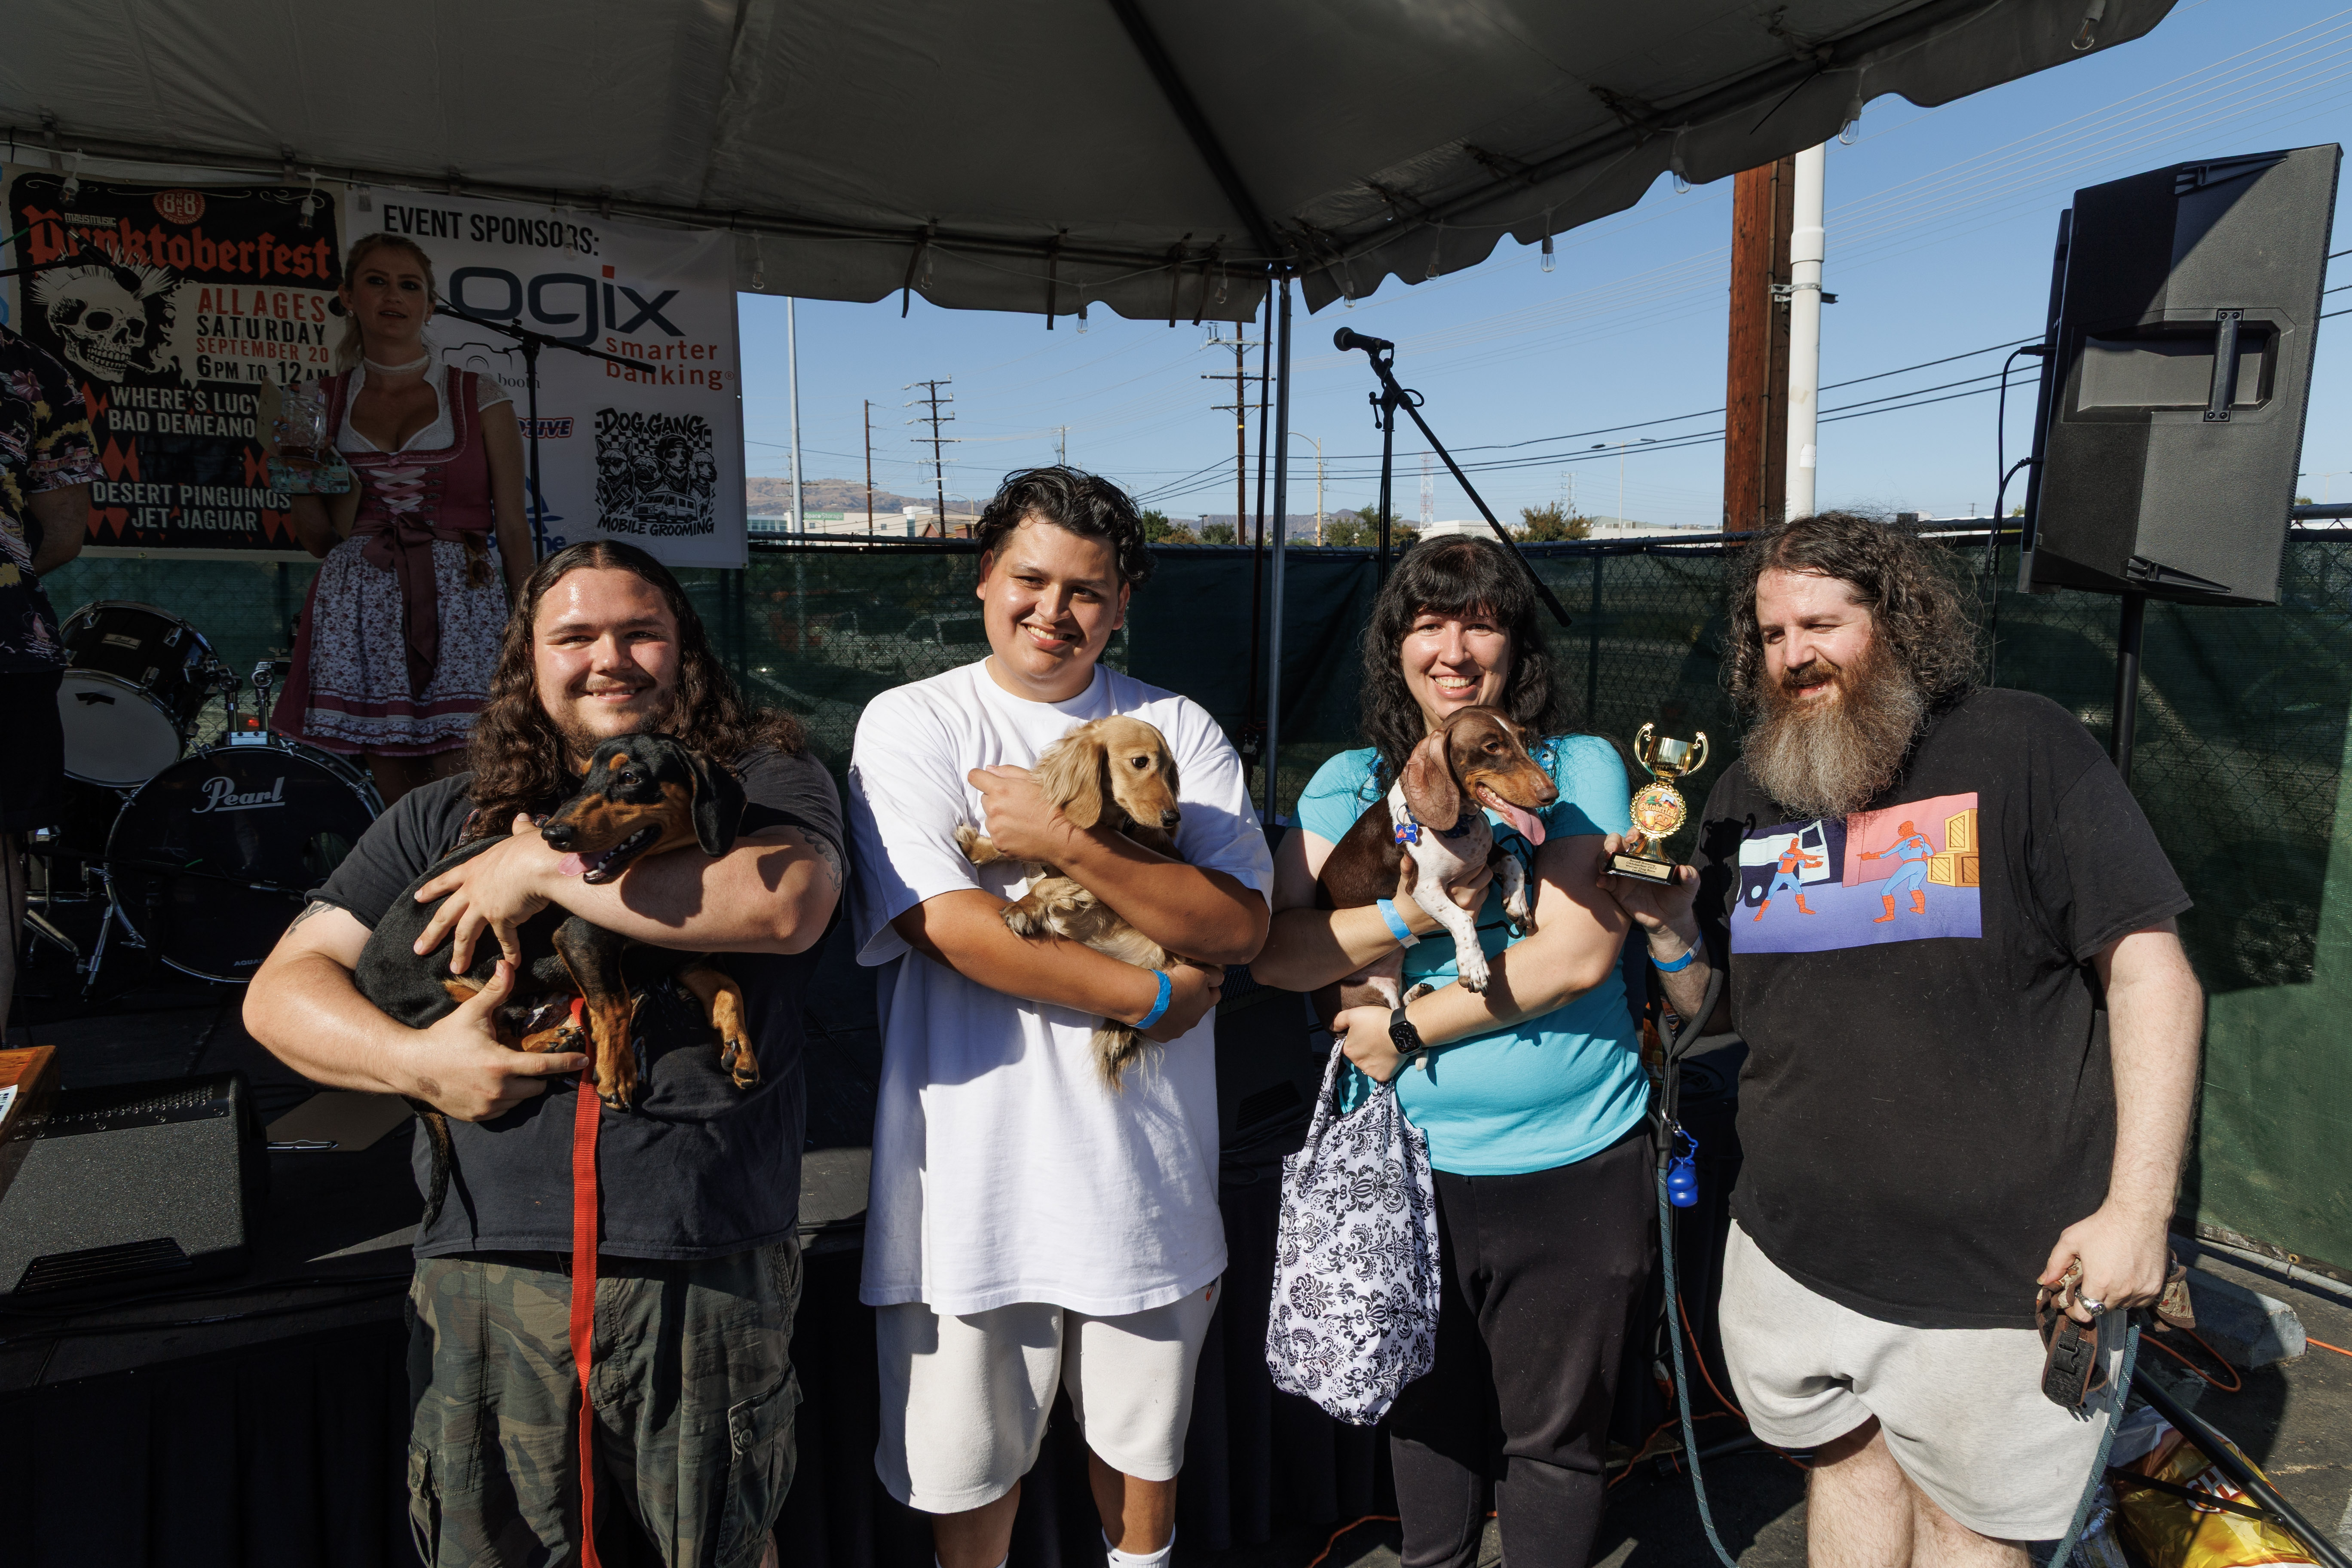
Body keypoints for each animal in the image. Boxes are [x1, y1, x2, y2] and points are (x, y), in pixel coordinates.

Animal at [355, 733, 754, 1228]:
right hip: (457, 997)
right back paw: (552, 1040)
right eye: (583, 780)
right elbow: (615, 1005)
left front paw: (741, 1050)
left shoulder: (687, 961)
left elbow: (730, 992)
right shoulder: (581, 938)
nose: (553, 836)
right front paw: (617, 1073)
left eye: (630, 777)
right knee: (495, 1042)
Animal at [955, 715, 1197, 1089]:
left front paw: (1023, 908)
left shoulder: (1091, 880)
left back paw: (1119, 1035)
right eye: (1140, 762)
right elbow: (1014, 849)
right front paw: (979, 848)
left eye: (1170, 769)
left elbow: (1050, 885)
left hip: (1157, 955)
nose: (1173, 819)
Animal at [1313, 705, 1558, 1023]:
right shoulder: (1423, 888)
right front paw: (1473, 965)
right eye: (1492, 747)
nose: (1551, 795)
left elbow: (1513, 860)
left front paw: (1517, 903)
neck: (1460, 827)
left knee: (1399, 1005)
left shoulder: (1487, 854)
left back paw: (1417, 993)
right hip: (1366, 992)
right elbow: (1463, 918)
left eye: (1525, 740)